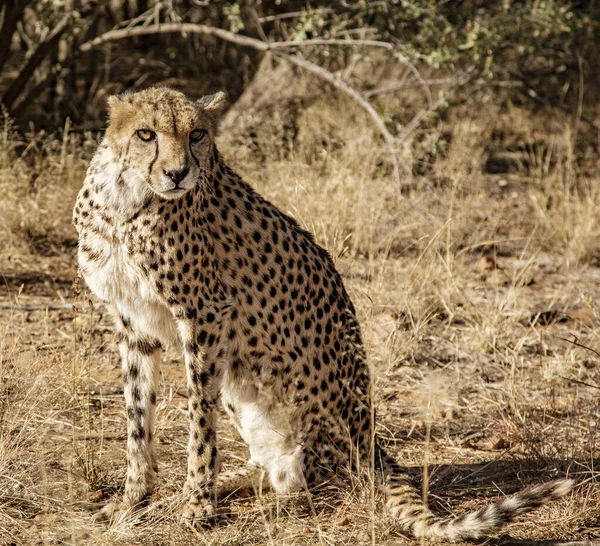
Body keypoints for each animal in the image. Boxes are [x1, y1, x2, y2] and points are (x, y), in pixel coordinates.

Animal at [72, 87, 576, 536]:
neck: (125, 198)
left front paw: (197, 505)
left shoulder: (205, 314)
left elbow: (199, 421)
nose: (178, 173)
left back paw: (247, 501)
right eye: (146, 134)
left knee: (316, 485)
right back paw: (215, 487)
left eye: (196, 134)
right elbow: (138, 419)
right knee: (273, 470)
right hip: (241, 386)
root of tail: (374, 442)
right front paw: (134, 499)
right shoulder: (133, 323)